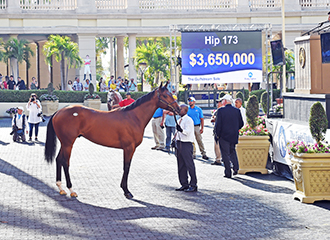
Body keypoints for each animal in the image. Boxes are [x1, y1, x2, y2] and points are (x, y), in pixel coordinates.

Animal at [44, 82, 180, 199]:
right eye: (165, 95)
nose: (178, 109)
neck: (133, 117)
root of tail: (58, 112)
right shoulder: (129, 148)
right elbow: (127, 167)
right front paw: (126, 191)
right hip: (68, 143)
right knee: (65, 162)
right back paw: (71, 190)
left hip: (64, 143)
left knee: (58, 159)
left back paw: (61, 188)